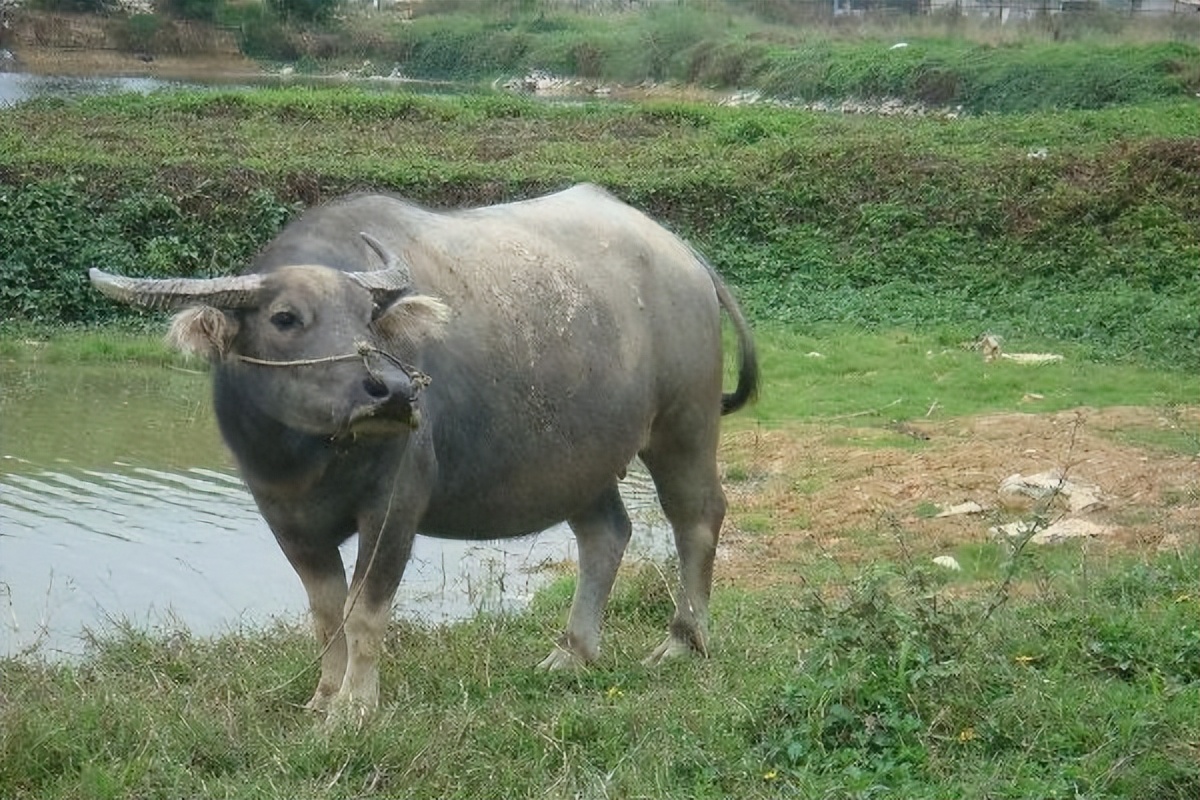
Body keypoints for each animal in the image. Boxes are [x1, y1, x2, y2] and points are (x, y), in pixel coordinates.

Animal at [88, 183, 753, 719]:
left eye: (368, 317)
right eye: (284, 317)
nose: (392, 391)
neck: (311, 457)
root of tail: (682, 254)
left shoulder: (395, 507)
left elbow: (364, 611)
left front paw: (354, 709)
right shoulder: (284, 517)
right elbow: (326, 614)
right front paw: (322, 698)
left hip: (684, 424)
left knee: (696, 517)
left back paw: (681, 641)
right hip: (581, 460)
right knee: (606, 535)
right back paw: (572, 653)